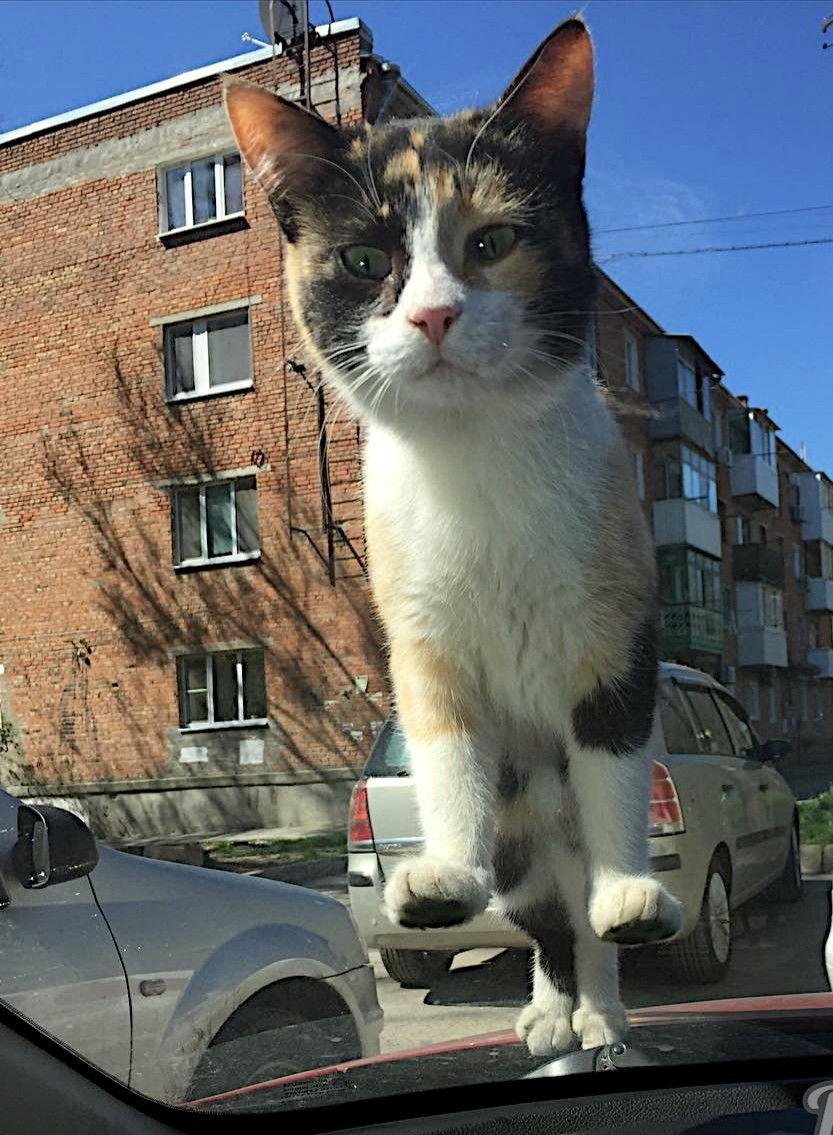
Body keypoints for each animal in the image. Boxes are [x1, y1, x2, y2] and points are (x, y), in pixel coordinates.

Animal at [224, 17, 680, 1053]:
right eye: (363, 261)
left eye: (493, 241)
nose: (433, 313)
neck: (474, 463)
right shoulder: (420, 632)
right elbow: (447, 751)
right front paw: (445, 871)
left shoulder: (614, 622)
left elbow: (611, 761)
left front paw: (630, 890)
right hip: (520, 838)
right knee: (543, 915)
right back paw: (551, 1007)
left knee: (579, 910)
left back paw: (603, 1007)